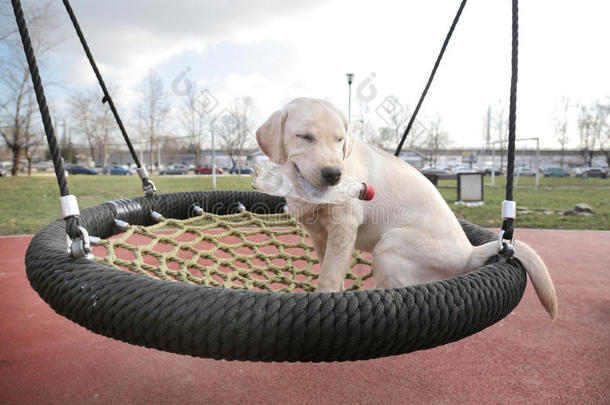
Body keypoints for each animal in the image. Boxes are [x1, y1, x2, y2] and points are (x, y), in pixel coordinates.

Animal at [254, 98, 552, 318]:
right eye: (304, 137)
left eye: (339, 140)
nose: (334, 174)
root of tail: (468, 253)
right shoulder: (318, 235)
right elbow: (329, 267)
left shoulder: (344, 228)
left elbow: (329, 276)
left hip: (390, 245)